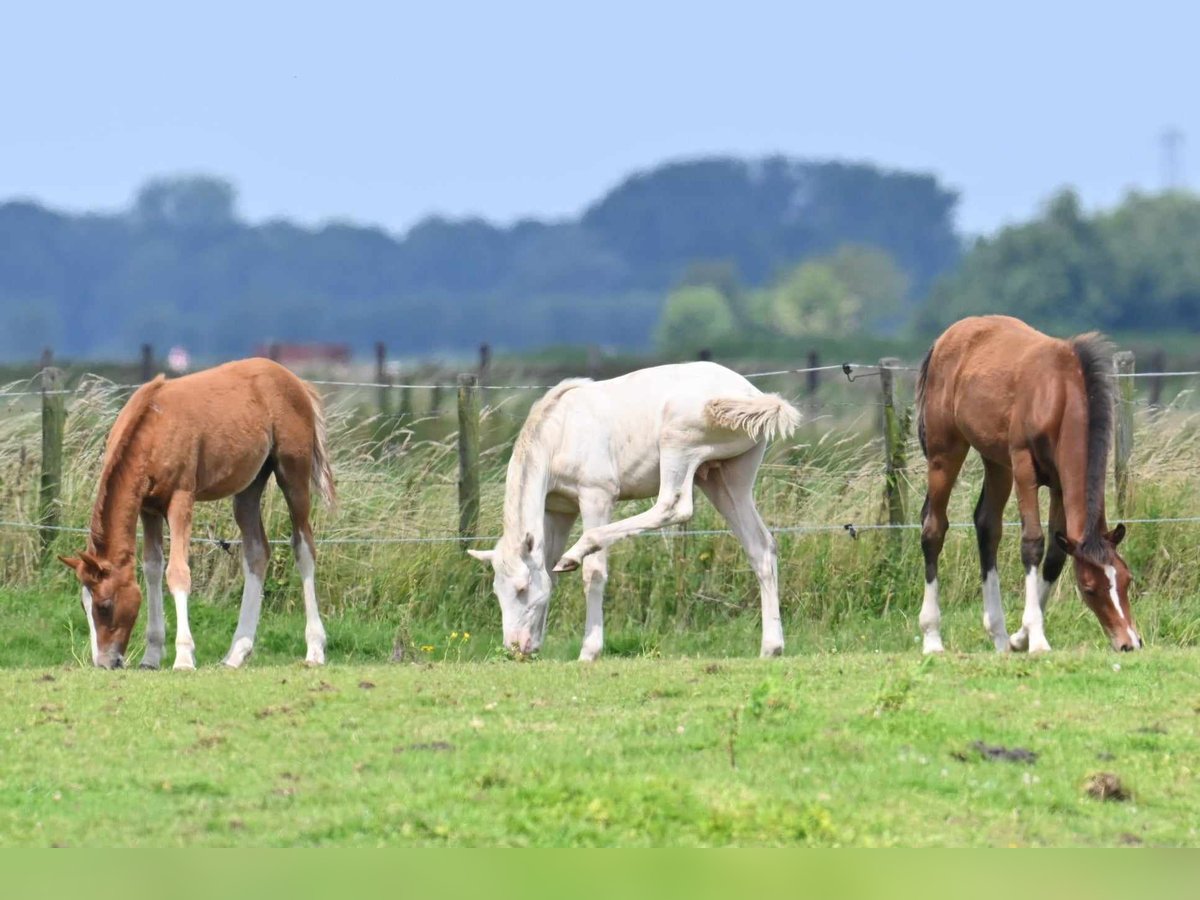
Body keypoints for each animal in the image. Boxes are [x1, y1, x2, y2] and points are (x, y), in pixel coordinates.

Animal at [59, 360, 336, 672]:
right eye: (84, 605)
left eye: (104, 606)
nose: (105, 662)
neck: (152, 430)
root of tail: (295, 381)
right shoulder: (148, 508)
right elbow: (153, 569)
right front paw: (151, 656)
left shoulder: (181, 499)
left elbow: (178, 572)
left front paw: (183, 657)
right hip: (248, 487)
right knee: (256, 553)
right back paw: (236, 653)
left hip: (293, 473)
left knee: (303, 548)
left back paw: (315, 649)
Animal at [465, 360, 796, 662]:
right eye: (497, 592)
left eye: (522, 588)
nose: (515, 647)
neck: (560, 433)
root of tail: (752, 394)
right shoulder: (559, 509)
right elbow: (547, 571)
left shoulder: (596, 495)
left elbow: (593, 572)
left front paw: (589, 650)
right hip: (725, 477)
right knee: (760, 547)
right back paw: (771, 647)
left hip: (678, 444)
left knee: (674, 506)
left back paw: (577, 552)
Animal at [912, 316, 1137, 657]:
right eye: (1089, 588)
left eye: (1126, 579)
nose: (1129, 643)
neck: (1058, 394)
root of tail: (943, 339)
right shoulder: (1024, 468)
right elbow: (1033, 543)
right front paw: (1038, 640)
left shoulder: (1059, 484)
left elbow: (1056, 555)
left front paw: (1021, 637)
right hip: (945, 454)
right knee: (933, 529)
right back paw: (932, 637)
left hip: (997, 463)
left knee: (987, 526)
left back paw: (1000, 636)